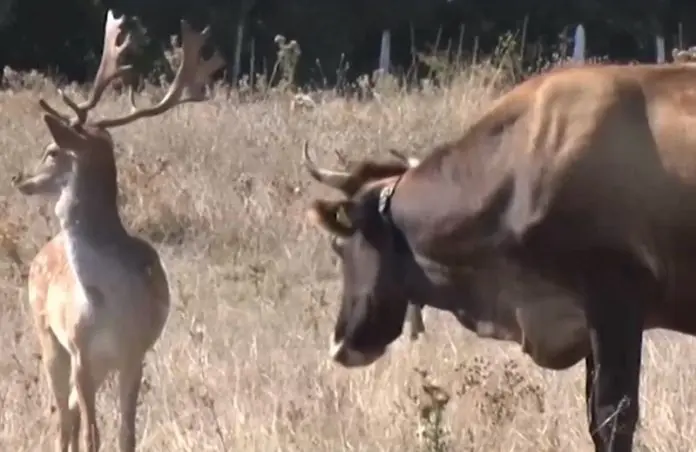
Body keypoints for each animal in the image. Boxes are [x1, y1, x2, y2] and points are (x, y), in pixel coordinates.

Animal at [10, 10, 225, 452]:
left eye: (52, 150)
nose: (20, 179)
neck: (106, 303)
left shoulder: (135, 353)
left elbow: (126, 434)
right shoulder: (79, 350)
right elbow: (93, 434)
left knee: (69, 412)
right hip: (47, 335)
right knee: (65, 416)